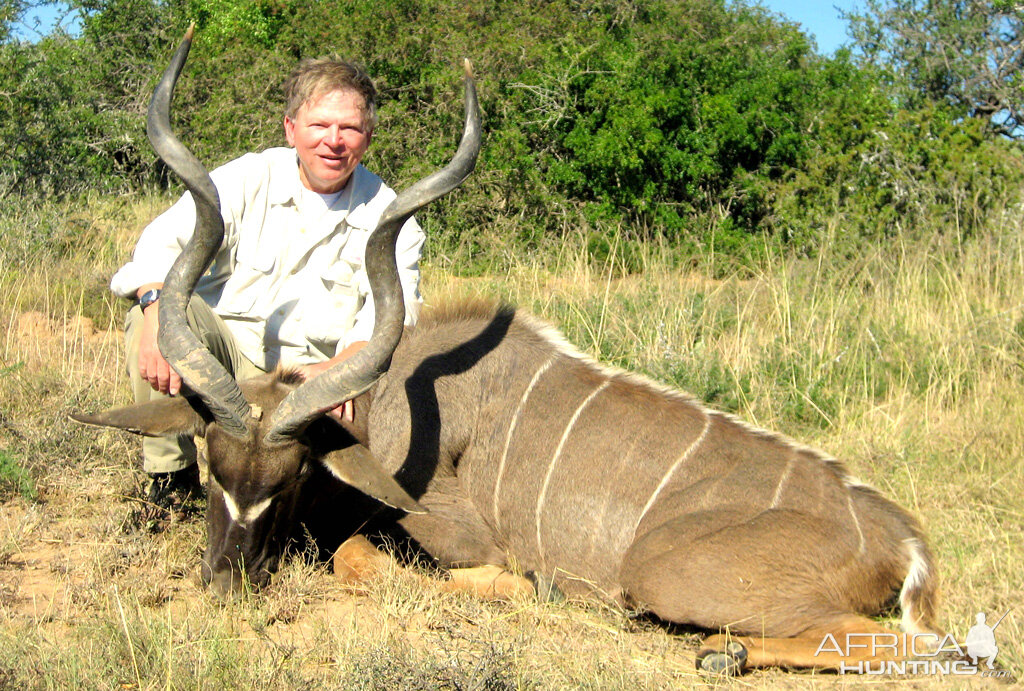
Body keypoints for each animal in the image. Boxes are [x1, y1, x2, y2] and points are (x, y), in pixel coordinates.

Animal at [72, 29, 942, 671]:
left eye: (288, 483)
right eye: (212, 466)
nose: (224, 582)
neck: (379, 414)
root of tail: (904, 541)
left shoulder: (451, 529)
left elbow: (368, 555)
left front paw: (515, 583)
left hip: (664, 571)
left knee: (915, 643)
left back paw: (723, 653)